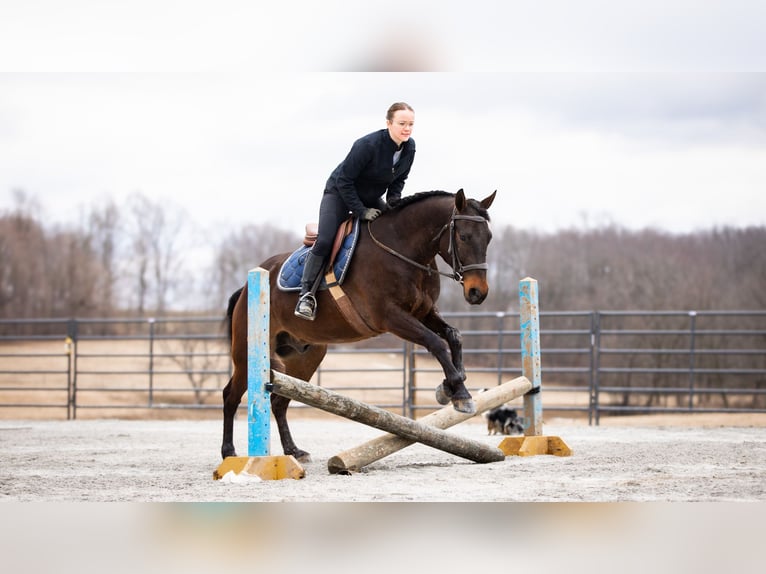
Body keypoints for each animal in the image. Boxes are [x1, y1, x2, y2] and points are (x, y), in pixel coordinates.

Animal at [222, 190, 498, 464]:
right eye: (464, 236)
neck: (403, 248)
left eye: (489, 238)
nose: (478, 292)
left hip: (305, 358)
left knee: (279, 402)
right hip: (247, 353)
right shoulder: (391, 317)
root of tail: (246, 286)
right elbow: (436, 343)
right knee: (231, 395)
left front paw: (450, 386)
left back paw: (294, 451)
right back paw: (229, 452)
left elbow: (454, 335)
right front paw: (460, 394)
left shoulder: (424, 312)